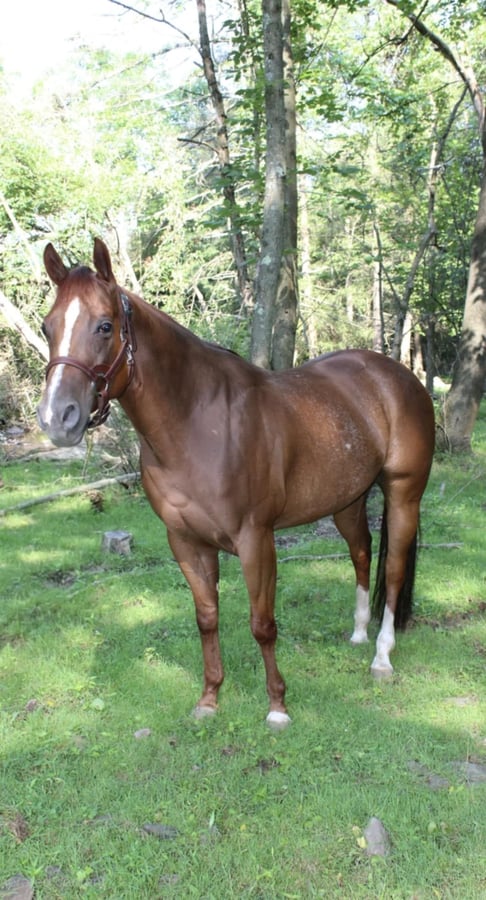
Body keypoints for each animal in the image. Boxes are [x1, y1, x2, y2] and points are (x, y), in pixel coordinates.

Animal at [37, 239, 435, 729]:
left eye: (105, 326)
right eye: (48, 326)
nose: (57, 418)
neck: (197, 423)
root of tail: (396, 376)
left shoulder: (255, 540)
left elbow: (262, 624)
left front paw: (278, 707)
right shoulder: (187, 542)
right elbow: (207, 618)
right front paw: (209, 699)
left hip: (403, 495)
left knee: (393, 569)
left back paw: (381, 657)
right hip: (348, 500)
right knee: (361, 553)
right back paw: (359, 633)